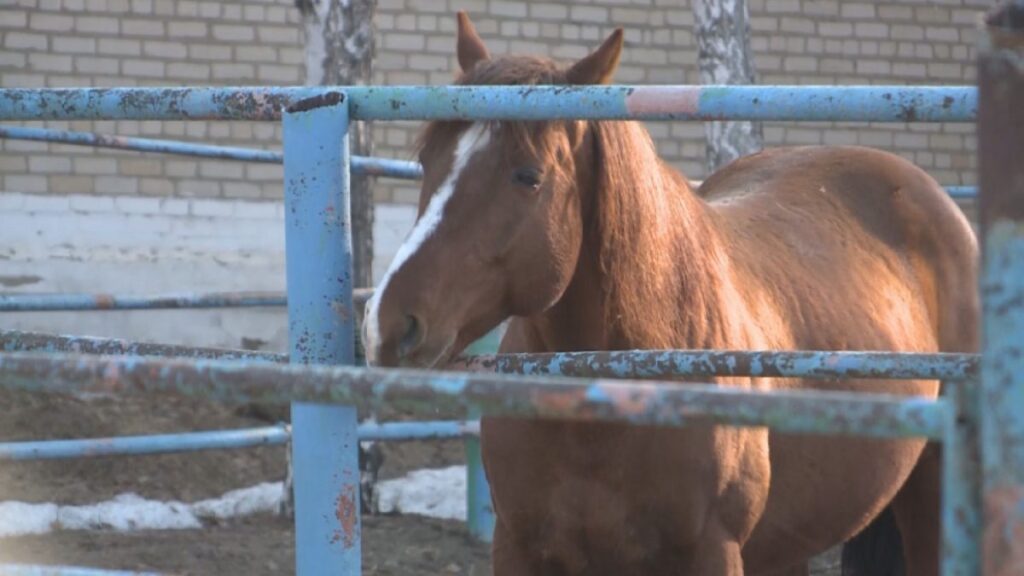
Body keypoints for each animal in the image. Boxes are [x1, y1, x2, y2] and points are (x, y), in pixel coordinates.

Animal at [364, 11, 978, 569]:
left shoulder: (712, 552)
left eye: (528, 176)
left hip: (932, 498)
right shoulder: (518, 547)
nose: (388, 324)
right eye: (427, 161)